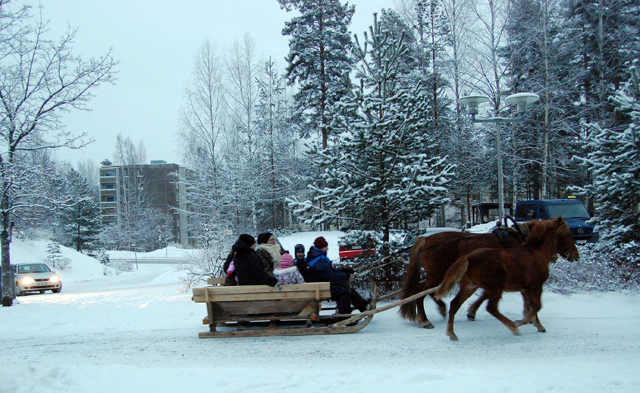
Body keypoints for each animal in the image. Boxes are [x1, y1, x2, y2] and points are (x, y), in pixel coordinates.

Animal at [400, 219, 580, 326]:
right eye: (566, 234)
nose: (576, 254)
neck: (522, 241)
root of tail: (426, 239)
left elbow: (484, 295)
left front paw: (472, 312)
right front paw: (533, 319)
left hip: (437, 275)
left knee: (423, 291)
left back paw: (439, 309)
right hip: (437, 274)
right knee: (420, 293)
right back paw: (425, 320)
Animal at [436, 217, 564, 340]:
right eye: (557, 236)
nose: (555, 257)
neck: (536, 253)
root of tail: (468, 257)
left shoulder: (526, 288)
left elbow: (532, 306)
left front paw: (535, 324)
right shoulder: (536, 286)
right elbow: (537, 306)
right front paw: (521, 322)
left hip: (470, 287)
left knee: (455, 304)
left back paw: (452, 333)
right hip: (495, 288)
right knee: (491, 308)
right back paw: (513, 327)